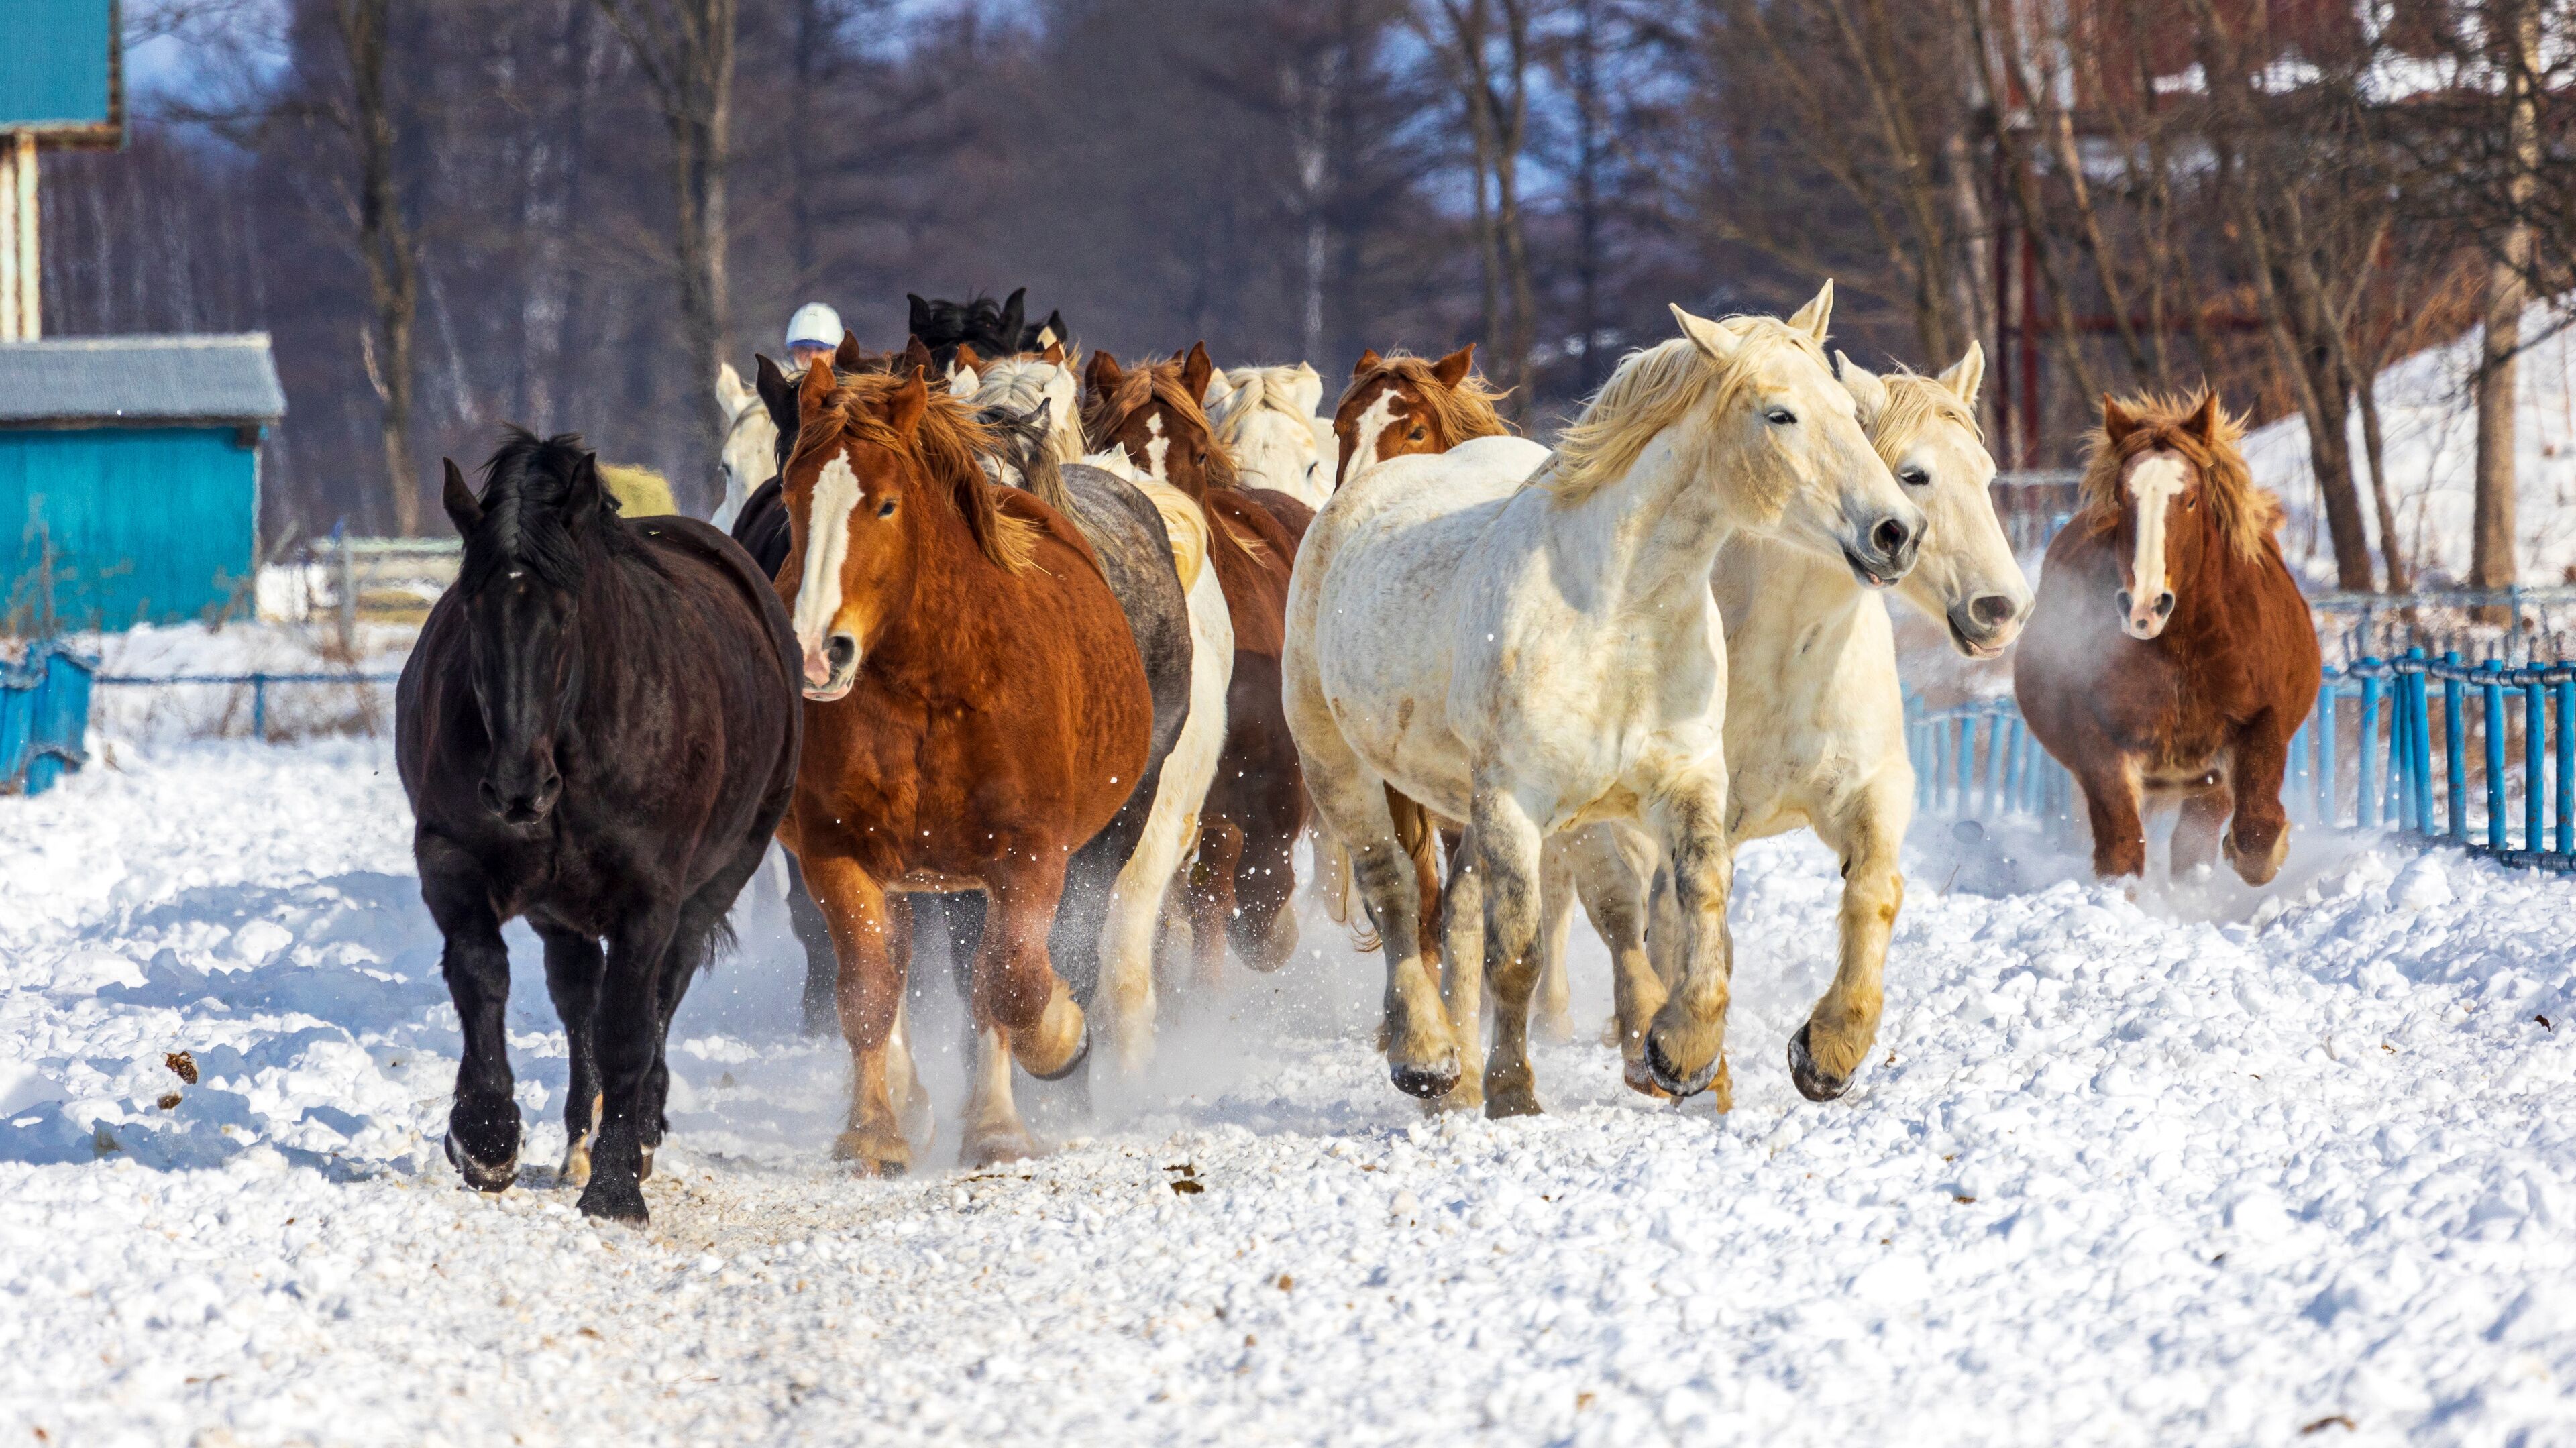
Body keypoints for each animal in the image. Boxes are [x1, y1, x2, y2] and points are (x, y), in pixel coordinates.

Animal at [397, 430, 801, 1225]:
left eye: (566, 614)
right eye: (471, 610)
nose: (516, 788)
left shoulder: (650, 896)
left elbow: (628, 1028)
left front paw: (615, 1185)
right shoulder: (451, 858)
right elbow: (482, 974)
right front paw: (485, 1135)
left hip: (718, 877)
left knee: (660, 992)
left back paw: (637, 1129)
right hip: (563, 905)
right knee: (578, 993)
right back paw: (579, 1136)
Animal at [775, 359, 1170, 1175]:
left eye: (886, 503)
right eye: (795, 500)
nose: (818, 653)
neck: (933, 689)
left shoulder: (1029, 855)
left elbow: (1011, 981)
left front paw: (1053, 1050)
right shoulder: (836, 852)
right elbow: (868, 990)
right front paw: (873, 1132)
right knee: (899, 966)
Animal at [1283, 284, 1926, 1114]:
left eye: (1850, 412)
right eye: (1779, 413)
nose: (1896, 532)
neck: (1616, 617)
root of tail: (1352, 500)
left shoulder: (1689, 781)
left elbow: (1700, 903)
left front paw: (1683, 1051)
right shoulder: (1517, 803)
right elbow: (1518, 953)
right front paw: (1514, 1094)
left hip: (1473, 803)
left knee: (1456, 910)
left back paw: (1456, 1078)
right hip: (1343, 768)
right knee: (1393, 889)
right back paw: (1427, 1058)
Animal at [1539, 343, 2029, 1106]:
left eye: (1986, 472)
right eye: (1914, 473)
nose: (2002, 607)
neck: (1790, 657)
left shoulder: (1872, 790)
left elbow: (1874, 892)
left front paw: (1829, 1051)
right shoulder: (1699, 807)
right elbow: (1681, 920)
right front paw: (1688, 1054)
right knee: (1606, 908)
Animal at [2014, 392, 2319, 883]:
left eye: (2191, 500)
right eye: (2123, 498)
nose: (2144, 607)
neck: (2181, 653)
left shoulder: (2258, 724)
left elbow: (2256, 834)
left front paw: (2261, 848)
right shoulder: (2099, 741)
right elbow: (2121, 849)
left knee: (2194, 846)